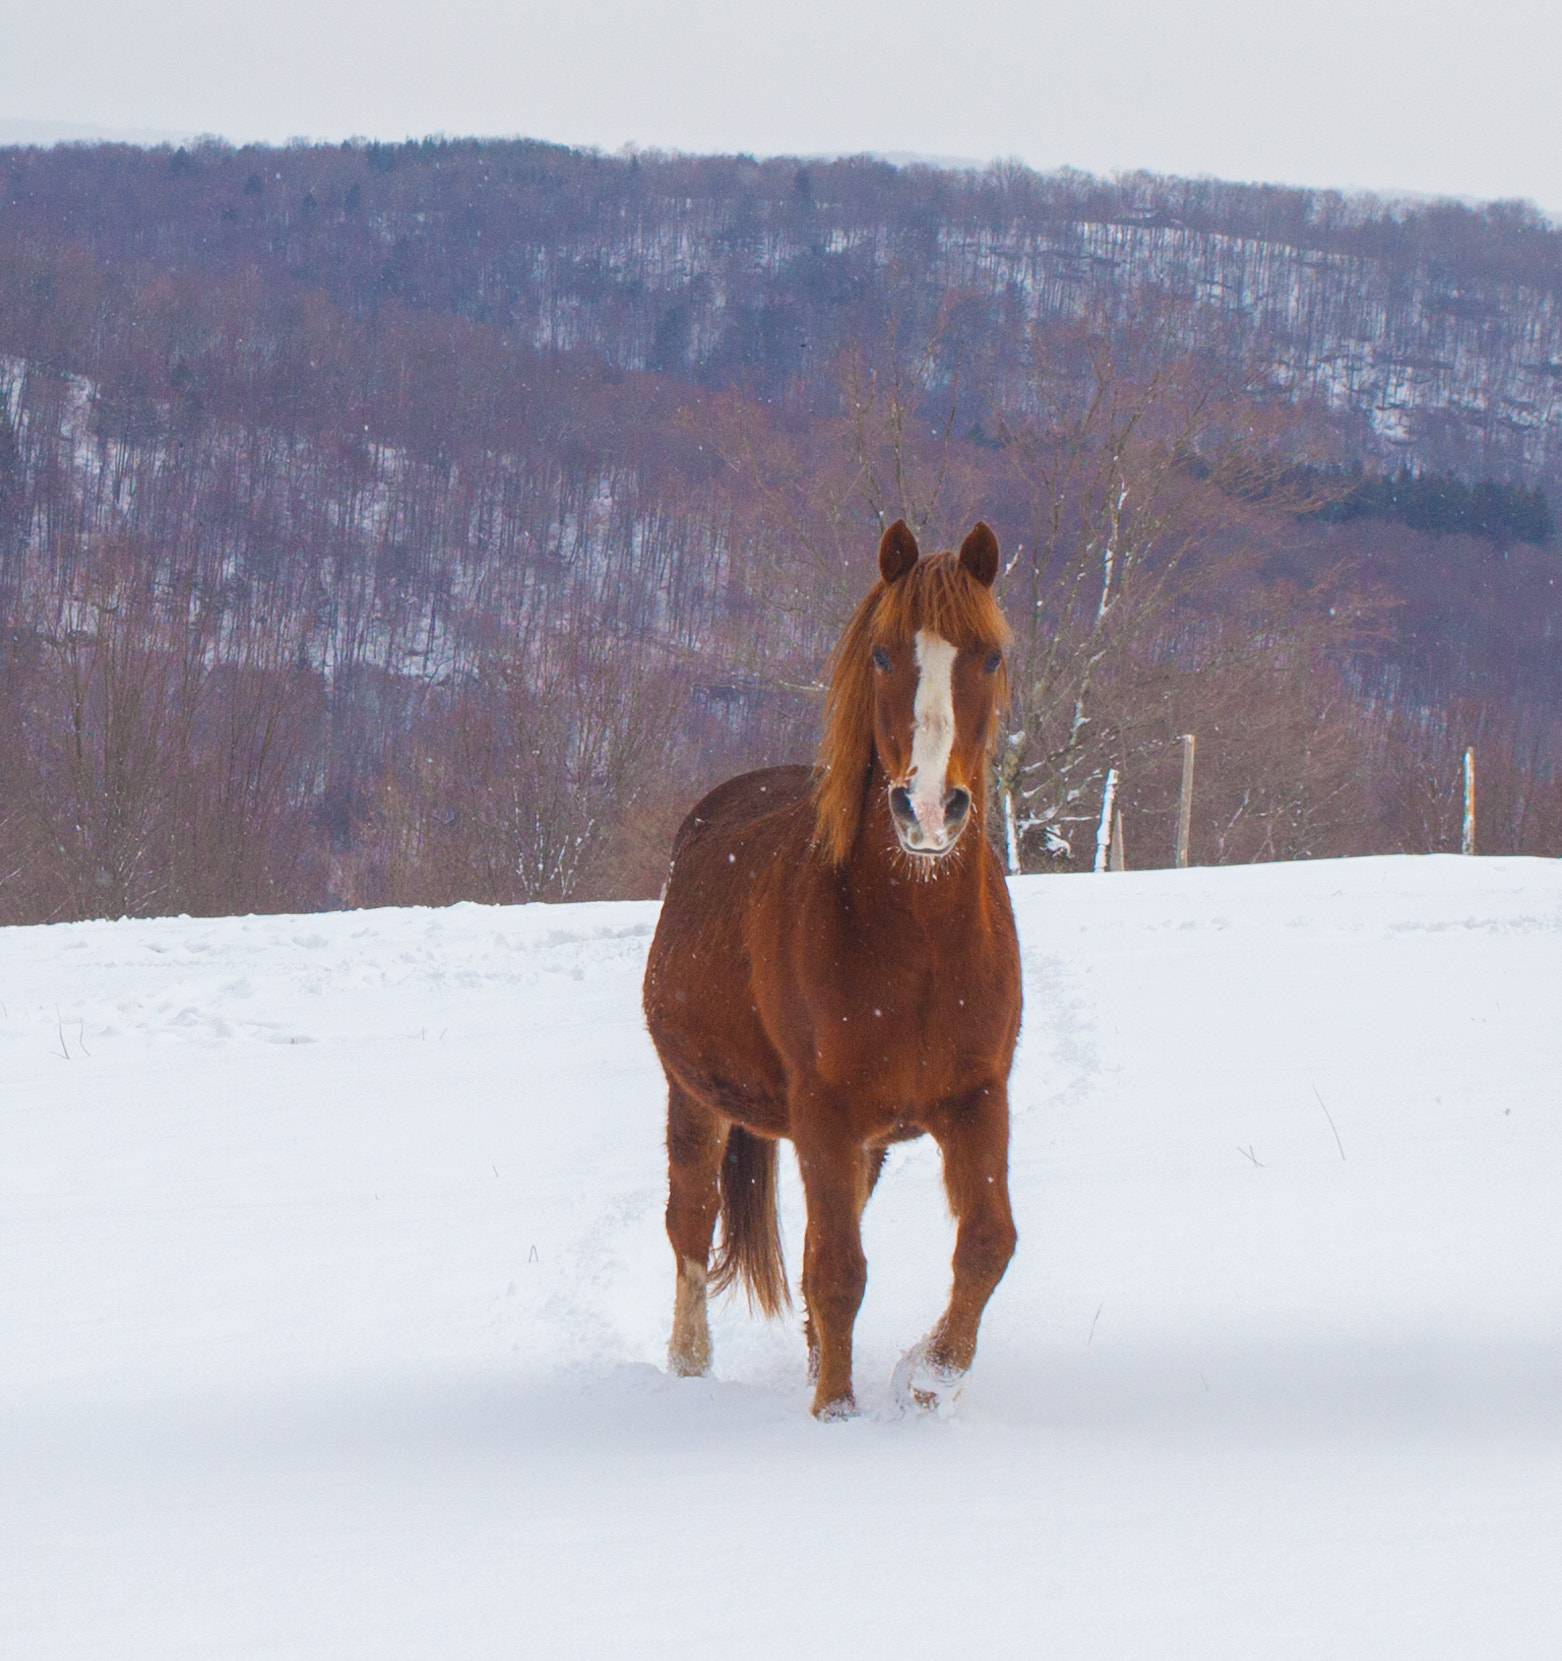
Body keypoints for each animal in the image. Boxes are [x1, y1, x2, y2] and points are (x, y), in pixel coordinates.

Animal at [641, 514, 1016, 1415]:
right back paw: (690, 1362)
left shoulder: (976, 1098)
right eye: (882, 653)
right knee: (691, 1219)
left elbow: (987, 1242)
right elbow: (837, 1271)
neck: (918, 941)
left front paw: (930, 1376)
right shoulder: (825, 1115)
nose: (927, 809)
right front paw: (836, 1415)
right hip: (695, 1097)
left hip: (866, 1143)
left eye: (989, 656)